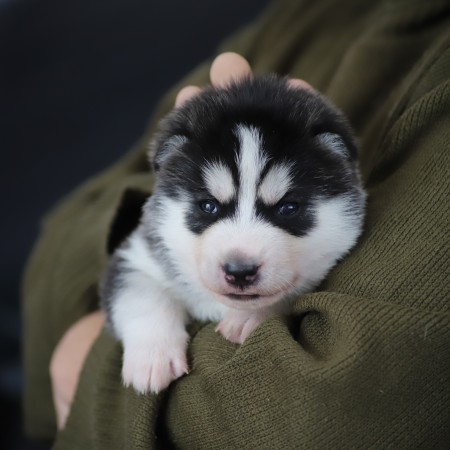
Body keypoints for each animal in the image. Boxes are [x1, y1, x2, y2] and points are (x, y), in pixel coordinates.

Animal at [100, 74, 368, 394]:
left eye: (288, 208)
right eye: (208, 206)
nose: (240, 271)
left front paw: (251, 317)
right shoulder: (138, 256)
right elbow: (142, 296)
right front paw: (152, 357)